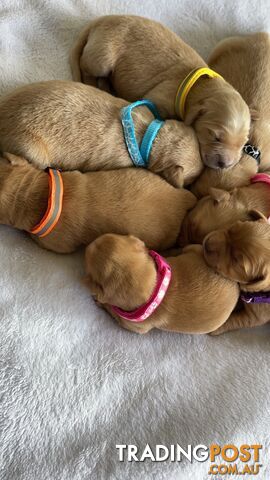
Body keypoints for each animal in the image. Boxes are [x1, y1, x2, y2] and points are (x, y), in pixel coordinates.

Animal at [70, 14, 251, 171]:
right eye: (215, 136)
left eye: (243, 144)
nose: (224, 165)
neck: (199, 87)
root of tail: (100, 21)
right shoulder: (161, 98)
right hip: (102, 57)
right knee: (86, 66)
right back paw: (92, 82)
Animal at [84, 233, 238, 334]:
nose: (88, 244)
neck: (156, 290)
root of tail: (236, 286)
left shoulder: (135, 326)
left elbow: (114, 313)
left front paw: (101, 302)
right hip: (196, 250)